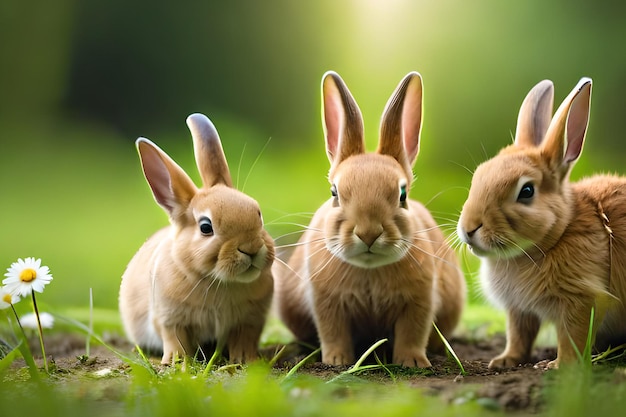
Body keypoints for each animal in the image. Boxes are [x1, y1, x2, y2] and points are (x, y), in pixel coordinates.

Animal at [118, 113, 272, 364]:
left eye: (258, 213)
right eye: (206, 227)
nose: (251, 248)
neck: (218, 280)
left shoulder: (251, 320)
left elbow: (245, 338)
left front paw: (245, 360)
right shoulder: (170, 318)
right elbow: (175, 339)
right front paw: (176, 361)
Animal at [272, 71, 464, 368]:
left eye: (402, 194)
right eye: (334, 192)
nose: (368, 233)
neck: (369, 269)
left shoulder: (419, 301)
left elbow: (412, 332)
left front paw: (412, 362)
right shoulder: (326, 302)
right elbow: (333, 331)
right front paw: (337, 360)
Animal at [454, 77, 624, 368]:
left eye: (526, 191)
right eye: (478, 175)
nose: (469, 228)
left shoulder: (582, 299)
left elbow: (572, 337)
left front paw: (558, 366)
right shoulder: (519, 309)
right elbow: (519, 334)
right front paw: (505, 360)